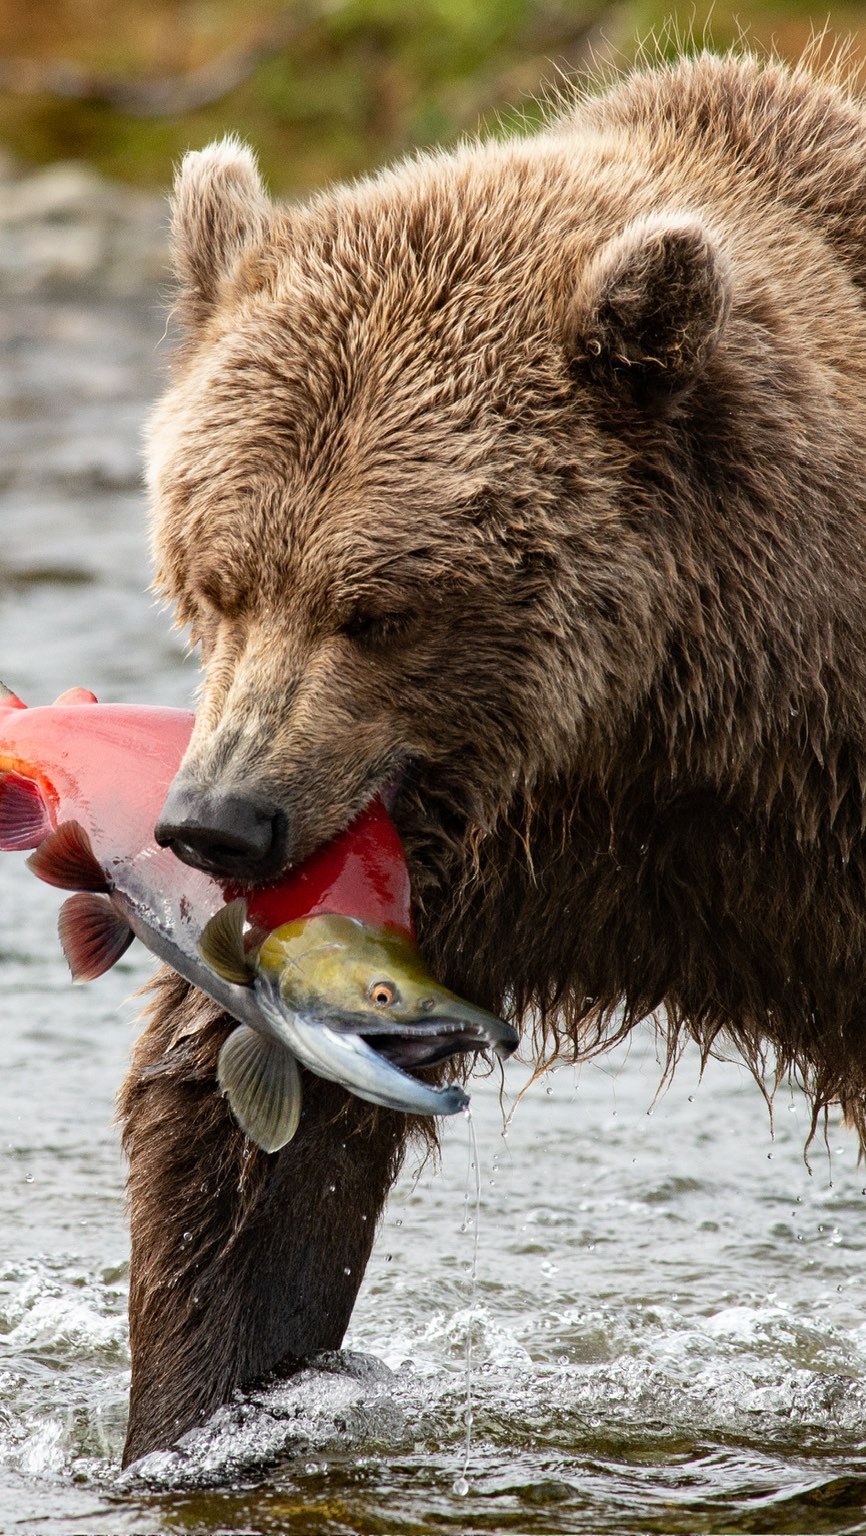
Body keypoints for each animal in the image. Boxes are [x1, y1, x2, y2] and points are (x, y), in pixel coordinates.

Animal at [119, 49, 866, 1466]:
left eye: (375, 608)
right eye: (219, 578)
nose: (220, 821)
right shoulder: (476, 856)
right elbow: (245, 1144)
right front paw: (198, 1411)